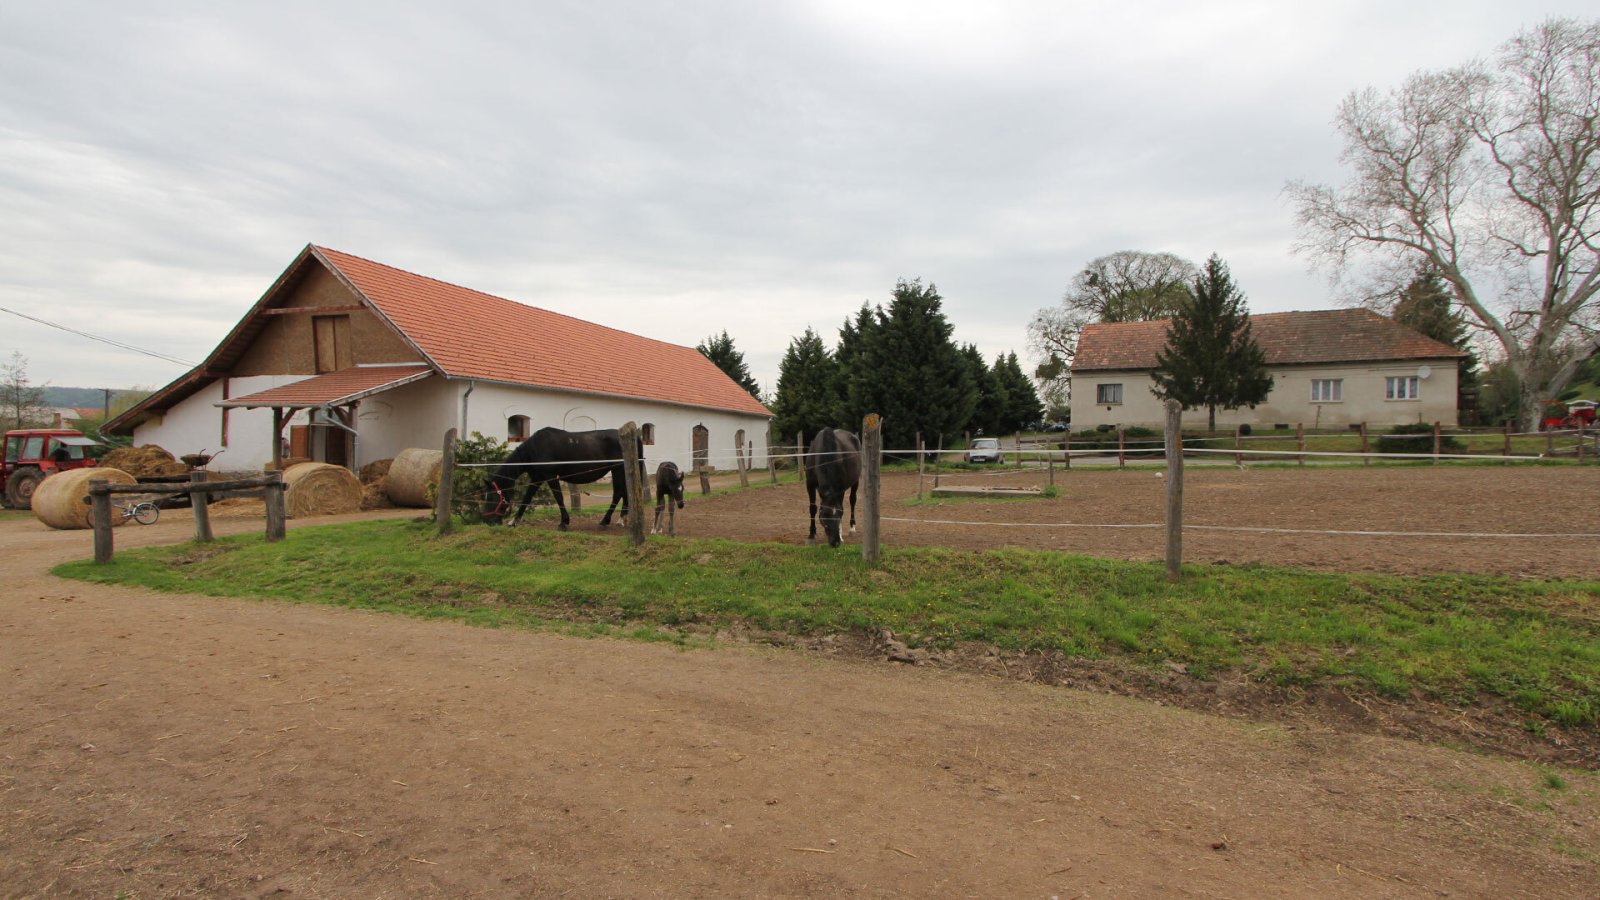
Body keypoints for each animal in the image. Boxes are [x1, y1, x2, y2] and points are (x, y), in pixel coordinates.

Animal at [481, 427, 637, 530]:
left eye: (493, 497)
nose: (488, 521)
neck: (536, 449)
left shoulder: (551, 477)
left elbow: (559, 497)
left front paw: (564, 522)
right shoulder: (537, 478)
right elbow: (526, 499)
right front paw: (513, 522)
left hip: (618, 470)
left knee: (618, 493)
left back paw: (606, 521)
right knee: (625, 493)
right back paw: (622, 519)